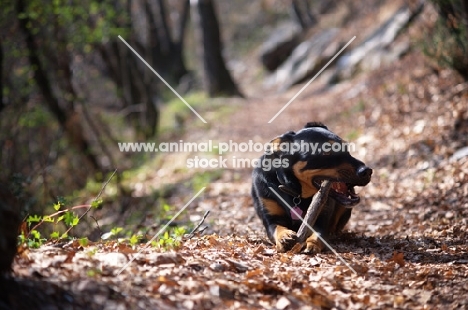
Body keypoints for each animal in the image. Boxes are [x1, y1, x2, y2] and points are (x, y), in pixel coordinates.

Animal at [252, 122, 372, 253]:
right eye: (326, 151)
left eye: (346, 148)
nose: (367, 171)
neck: (297, 192)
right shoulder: (271, 218)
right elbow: (277, 227)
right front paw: (284, 236)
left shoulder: (321, 216)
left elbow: (318, 234)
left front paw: (312, 243)